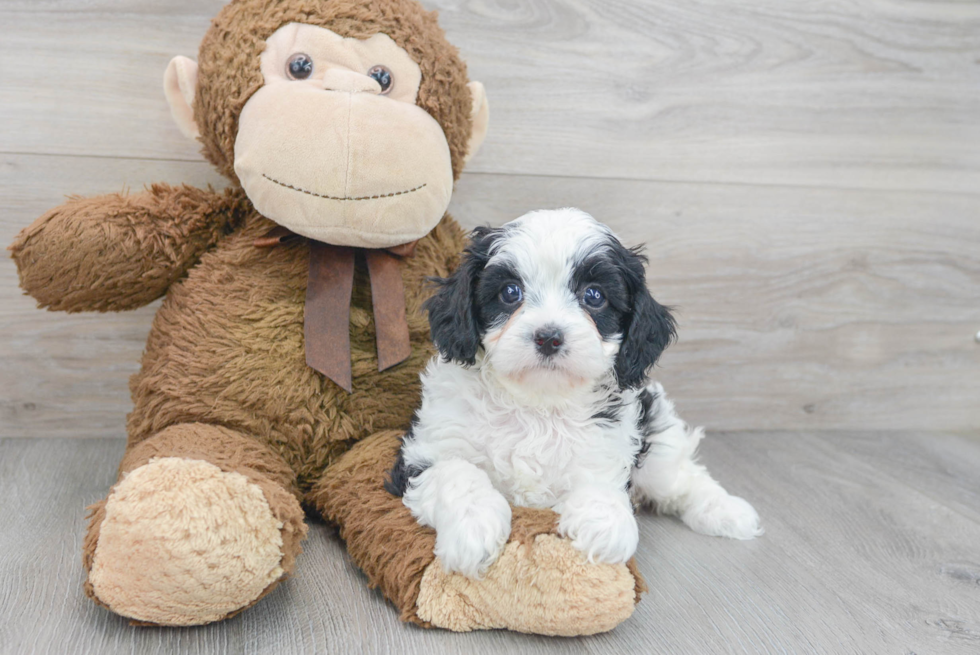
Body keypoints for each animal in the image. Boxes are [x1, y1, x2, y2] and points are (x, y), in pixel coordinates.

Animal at [386, 206, 760, 580]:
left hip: (655, 438)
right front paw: (474, 529)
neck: (538, 404)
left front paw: (603, 526)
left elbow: (601, 488)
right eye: (510, 292)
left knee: (681, 478)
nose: (549, 337)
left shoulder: (607, 447)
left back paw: (728, 512)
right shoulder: (426, 451)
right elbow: (457, 473)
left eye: (594, 296)